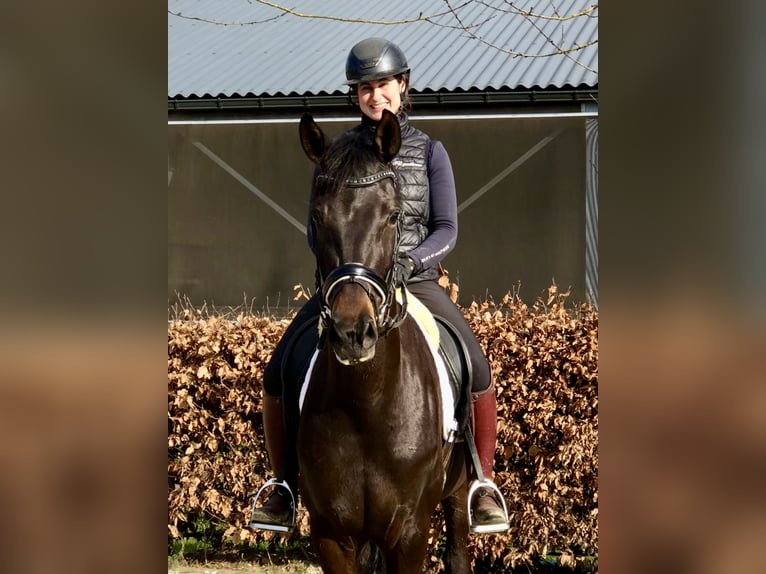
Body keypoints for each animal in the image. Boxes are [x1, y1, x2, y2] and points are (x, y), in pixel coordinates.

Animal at [296, 109, 472, 574]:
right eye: (317, 218)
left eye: (394, 216)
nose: (353, 332)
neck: (367, 401)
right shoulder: (331, 535)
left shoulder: (409, 533)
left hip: (457, 494)